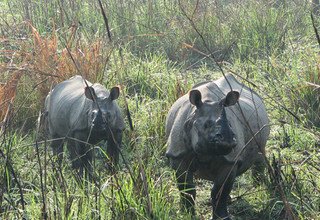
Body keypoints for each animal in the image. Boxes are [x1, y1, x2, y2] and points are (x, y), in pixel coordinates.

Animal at [166, 74, 268, 220]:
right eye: (206, 125)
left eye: (230, 125)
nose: (228, 141)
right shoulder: (177, 154)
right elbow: (187, 188)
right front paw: (186, 213)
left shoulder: (231, 160)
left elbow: (220, 191)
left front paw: (222, 217)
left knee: (260, 154)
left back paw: (257, 186)